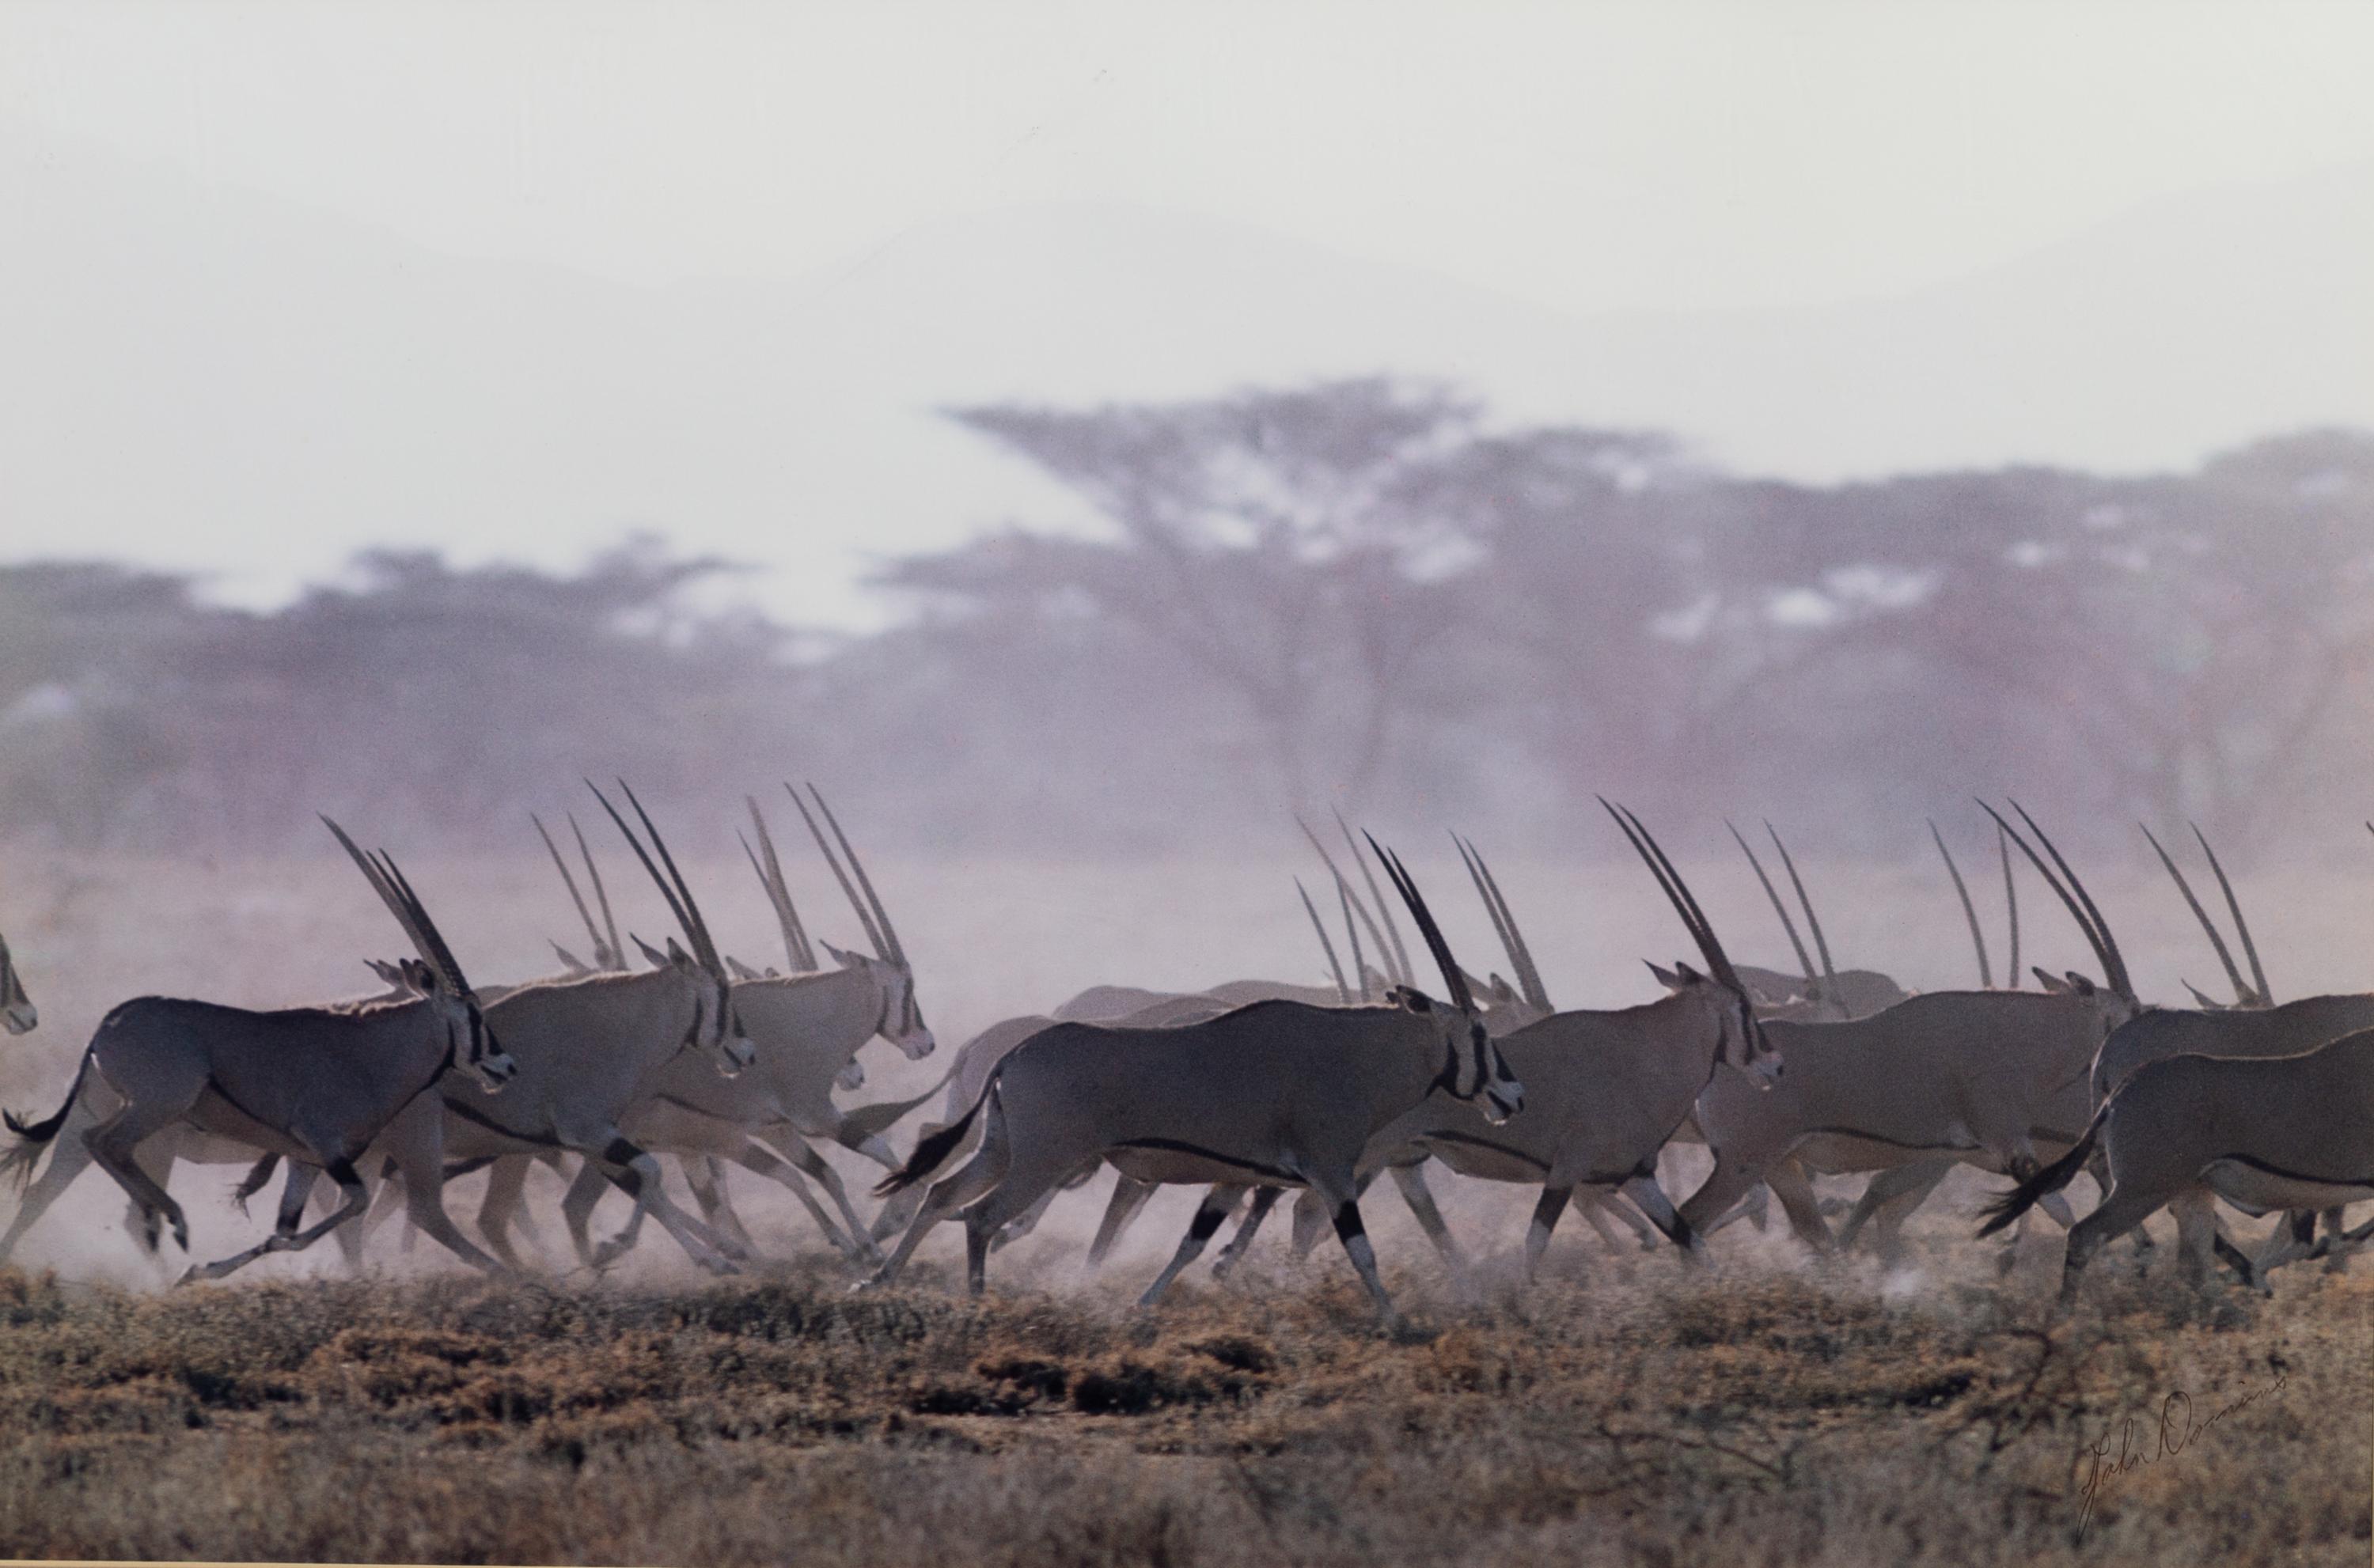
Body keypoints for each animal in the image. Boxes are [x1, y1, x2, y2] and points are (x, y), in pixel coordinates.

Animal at [0, 821, 516, 1282]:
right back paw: (176, 1223)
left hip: (118, 1120)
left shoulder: (306, 1160)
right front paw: (199, 1268)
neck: (374, 1050)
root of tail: (109, 1022)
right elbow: (354, 1203)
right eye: (472, 1012)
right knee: (107, 1147)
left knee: (73, 1170)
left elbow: (287, 1230)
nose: (506, 1065)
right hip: (157, 1110)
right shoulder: (325, 1146)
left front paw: (205, 1270)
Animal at [861, 839, 1523, 1323]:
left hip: (1002, 1149)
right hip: (1042, 1161)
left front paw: (1144, 1307)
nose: (1513, 1095)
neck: (1355, 1050)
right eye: (1479, 1031)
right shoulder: (1331, 1172)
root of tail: (1011, 1054)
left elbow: (1195, 1242)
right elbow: (1361, 1249)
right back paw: (975, 1303)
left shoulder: (1238, 1178)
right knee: (979, 1217)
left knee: (940, 1195)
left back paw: (875, 1278)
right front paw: (1395, 1321)